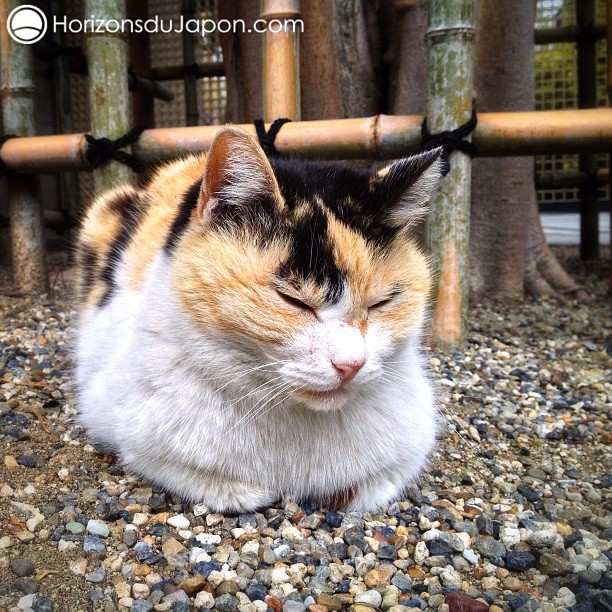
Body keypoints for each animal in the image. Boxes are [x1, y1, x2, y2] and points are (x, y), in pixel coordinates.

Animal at [74, 126, 442, 512]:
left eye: (381, 303)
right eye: (294, 300)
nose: (351, 364)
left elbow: (367, 485)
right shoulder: (124, 422)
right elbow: (217, 484)